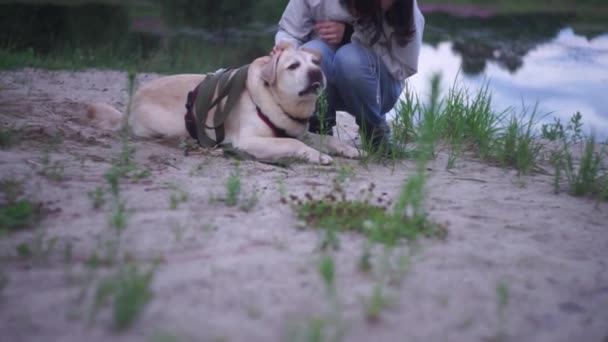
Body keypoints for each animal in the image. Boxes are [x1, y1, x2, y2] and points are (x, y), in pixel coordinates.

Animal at [86, 43, 360, 164]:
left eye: (315, 63)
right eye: (293, 66)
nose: (316, 73)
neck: (279, 102)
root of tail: (130, 105)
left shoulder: (298, 131)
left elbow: (324, 138)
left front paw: (349, 149)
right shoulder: (249, 141)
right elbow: (292, 143)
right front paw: (318, 156)